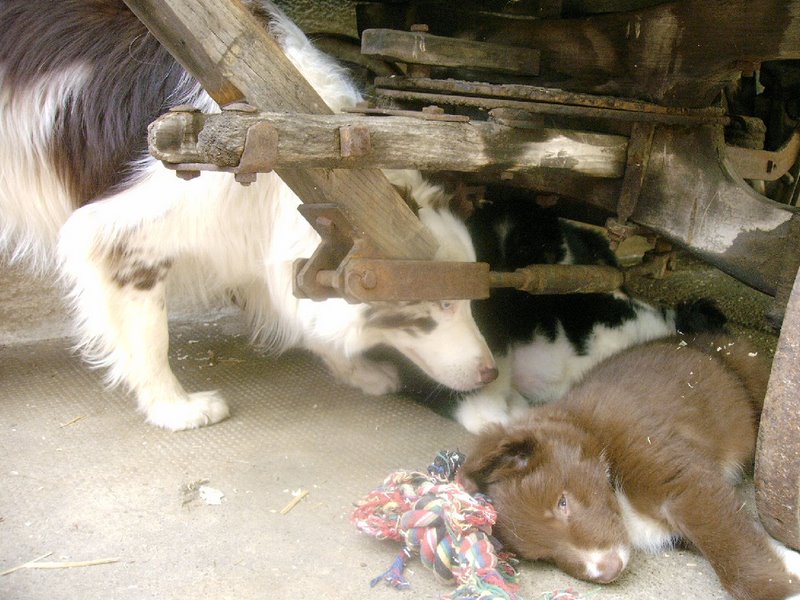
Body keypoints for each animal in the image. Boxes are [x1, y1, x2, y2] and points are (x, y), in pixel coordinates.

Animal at [0, 1, 496, 430]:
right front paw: (175, 407)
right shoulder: (122, 232)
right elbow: (151, 333)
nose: (490, 372)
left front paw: (359, 373)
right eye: (444, 304)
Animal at [460, 333, 800, 600]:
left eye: (562, 502)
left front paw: (783, 591)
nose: (608, 570)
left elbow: (730, 548)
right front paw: (791, 563)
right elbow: (741, 534)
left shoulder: (683, 481)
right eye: (544, 557)